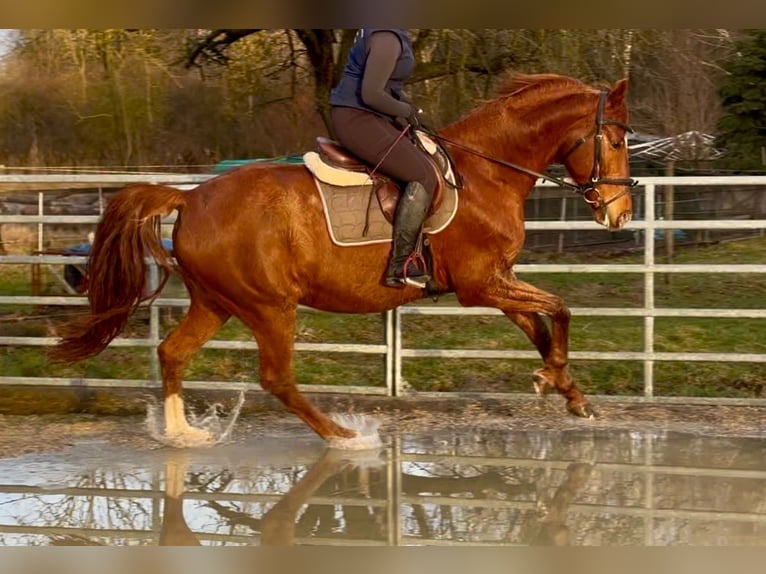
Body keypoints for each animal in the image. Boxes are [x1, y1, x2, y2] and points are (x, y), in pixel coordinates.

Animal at [50, 73, 635, 447]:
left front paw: (568, 392)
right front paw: (551, 380)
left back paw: (181, 434)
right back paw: (343, 436)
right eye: (614, 141)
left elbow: (541, 325)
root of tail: (190, 198)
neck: (487, 173)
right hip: (268, 307)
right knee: (277, 379)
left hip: (216, 301)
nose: (620, 213)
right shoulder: (480, 286)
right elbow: (559, 308)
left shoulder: (497, 280)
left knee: (172, 354)